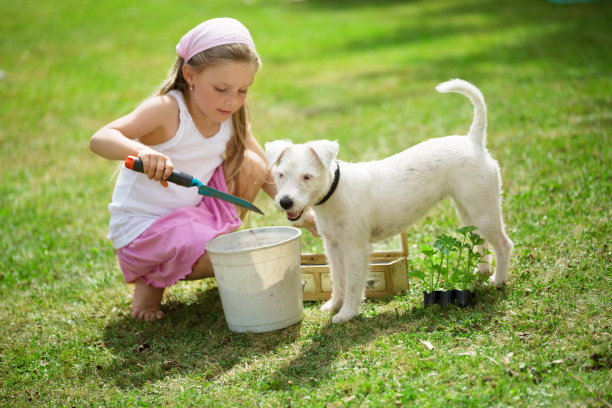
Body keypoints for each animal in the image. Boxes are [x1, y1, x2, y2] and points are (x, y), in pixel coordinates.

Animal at [266, 78, 512, 324]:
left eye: (307, 176)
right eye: (280, 174)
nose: (285, 202)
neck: (335, 192)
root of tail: (474, 141)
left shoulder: (355, 249)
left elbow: (353, 284)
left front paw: (347, 313)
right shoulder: (333, 247)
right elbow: (338, 279)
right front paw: (334, 305)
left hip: (483, 211)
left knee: (503, 244)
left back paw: (498, 280)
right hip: (468, 212)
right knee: (480, 242)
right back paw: (481, 273)